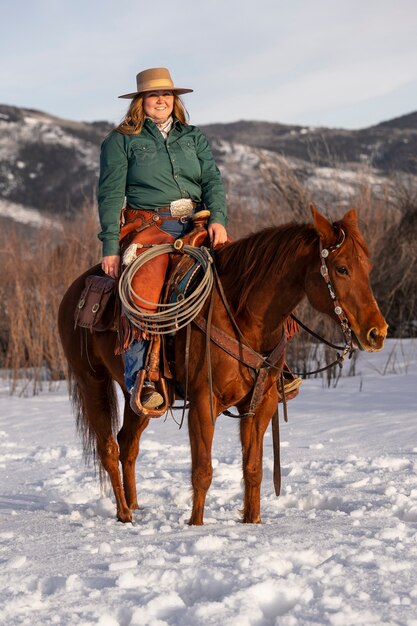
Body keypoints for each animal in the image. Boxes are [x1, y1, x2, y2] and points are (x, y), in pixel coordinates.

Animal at [57, 207, 386, 524]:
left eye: (367, 268)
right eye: (342, 268)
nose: (377, 332)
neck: (244, 316)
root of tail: (74, 290)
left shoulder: (261, 402)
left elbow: (253, 468)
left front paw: (252, 521)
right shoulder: (204, 401)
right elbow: (202, 471)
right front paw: (195, 525)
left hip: (135, 397)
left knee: (128, 444)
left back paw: (135, 505)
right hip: (92, 381)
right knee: (108, 448)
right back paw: (124, 514)